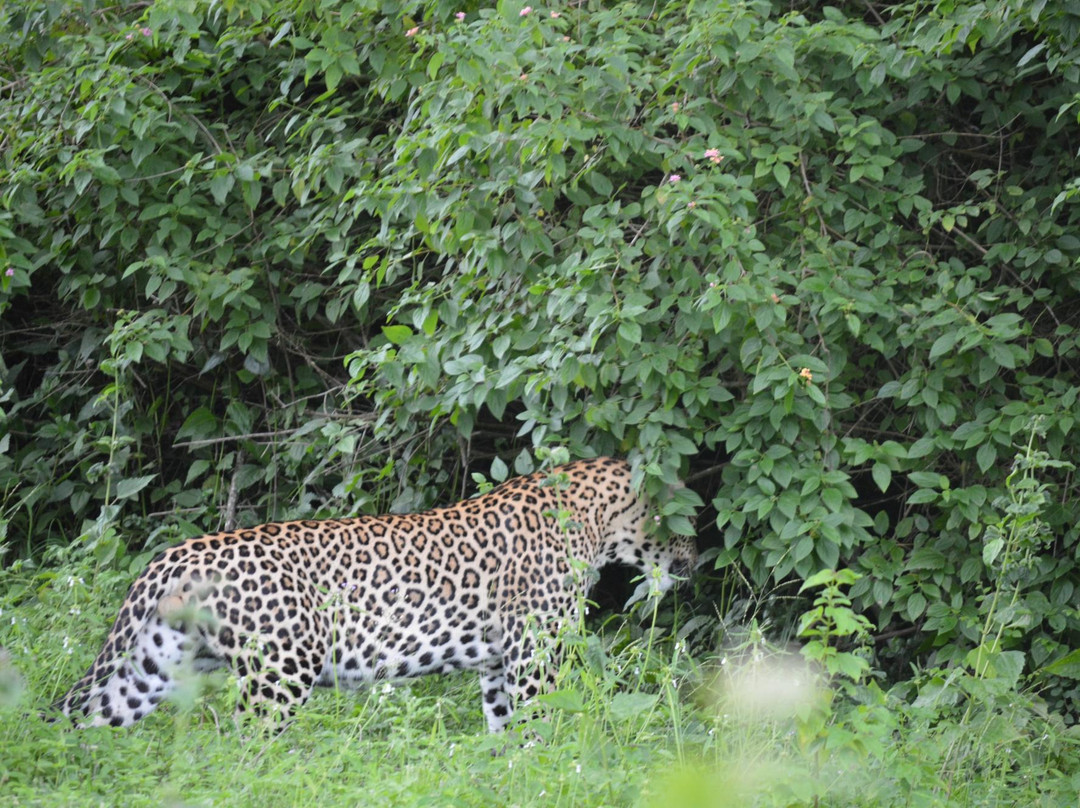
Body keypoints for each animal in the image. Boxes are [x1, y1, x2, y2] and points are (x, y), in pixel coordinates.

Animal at [54, 458, 699, 730]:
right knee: (243, 750)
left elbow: (504, 731)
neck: (596, 519)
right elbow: (541, 724)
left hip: (146, 668)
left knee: (85, 721)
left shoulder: (499, 663)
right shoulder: (536, 655)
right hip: (281, 671)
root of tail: (176, 554)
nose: (698, 560)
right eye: (687, 522)